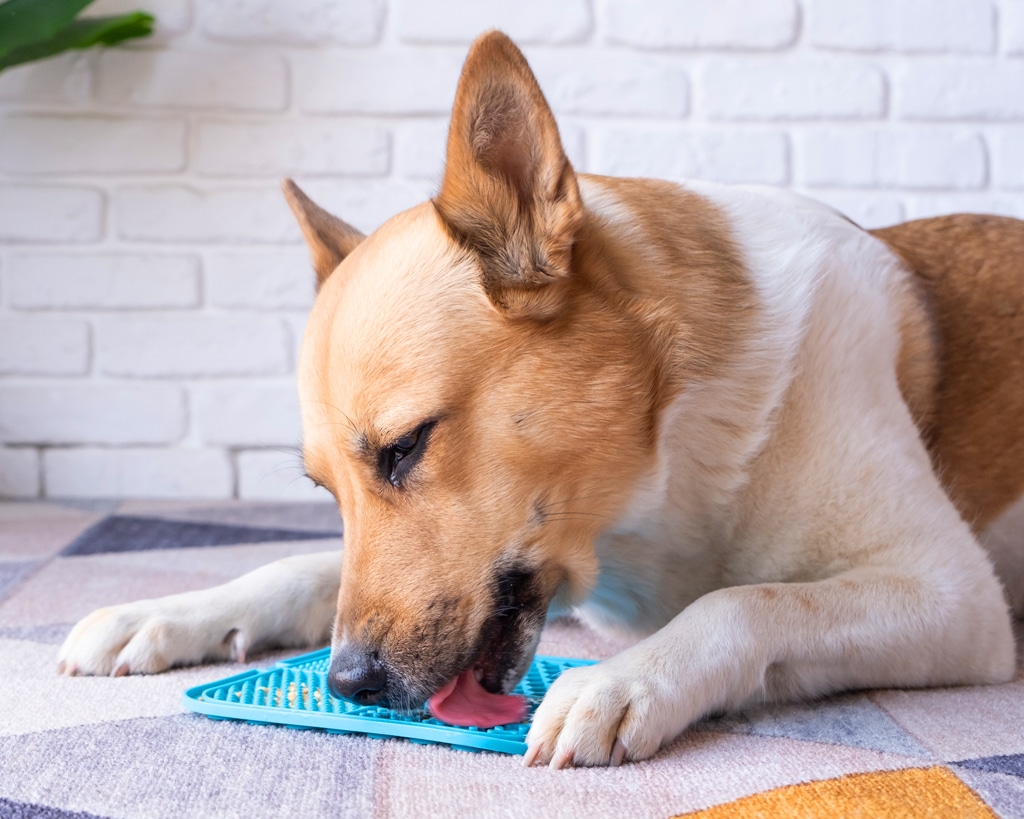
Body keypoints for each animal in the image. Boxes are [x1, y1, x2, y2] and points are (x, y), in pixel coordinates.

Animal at [58, 30, 1024, 769]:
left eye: (406, 446)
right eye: (323, 489)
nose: (347, 685)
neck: (674, 451)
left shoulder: (952, 598)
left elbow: (753, 600)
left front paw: (626, 680)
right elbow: (299, 567)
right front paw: (166, 611)